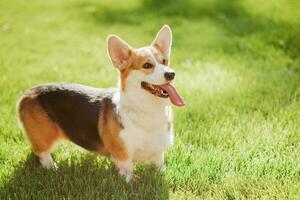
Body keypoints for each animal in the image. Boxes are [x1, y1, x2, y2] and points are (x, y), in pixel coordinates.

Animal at [18, 24, 185, 181]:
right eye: (147, 65)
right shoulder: (122, 156)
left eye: (164, 61)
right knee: (42, 153)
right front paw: (130, 181)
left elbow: (160, 166)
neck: (148, 109)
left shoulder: (158, 154)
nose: (171, 74)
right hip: (45, 137)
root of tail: (27, 93)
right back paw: (52, 167)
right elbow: (128, 173)